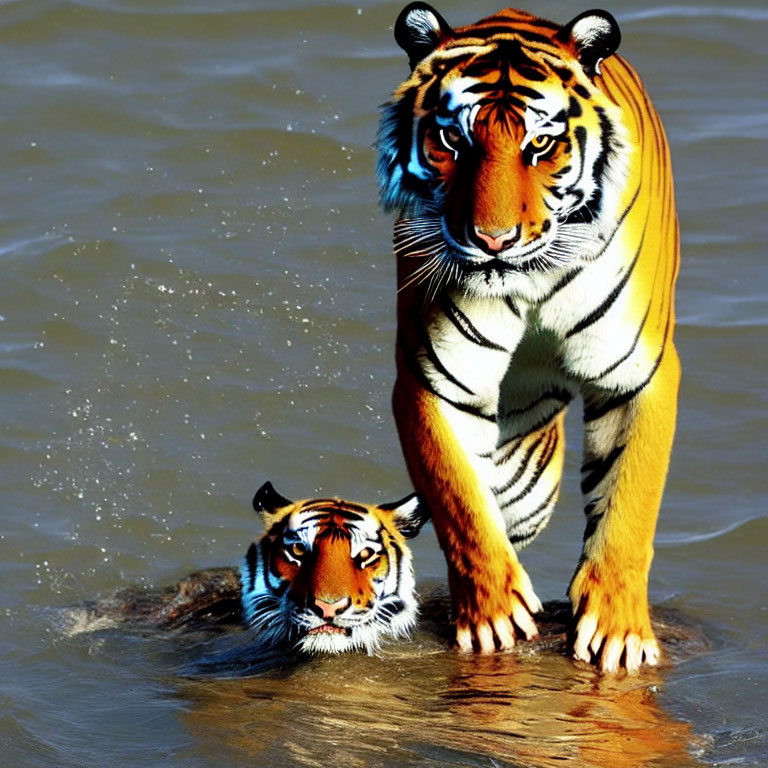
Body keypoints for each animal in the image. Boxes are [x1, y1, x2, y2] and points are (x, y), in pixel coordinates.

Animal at [376, 1, 680, 672]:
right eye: (452, 140)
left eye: (540, 143)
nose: (493, 240)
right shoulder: (436, 378)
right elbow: (460, 501)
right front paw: (491, 616)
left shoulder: (638, 374)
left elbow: (630, 503)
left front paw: (618, 630)